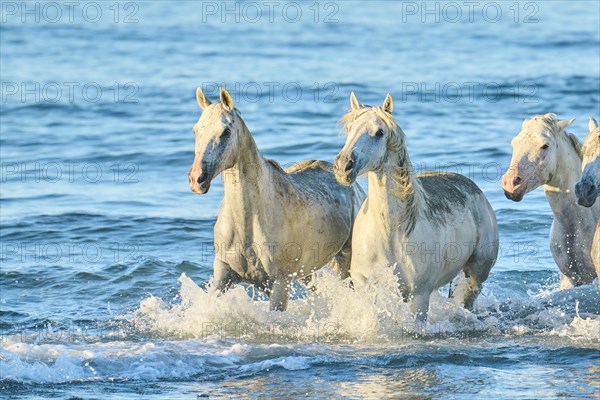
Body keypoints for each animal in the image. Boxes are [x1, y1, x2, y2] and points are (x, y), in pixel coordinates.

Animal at [189, 86, 366, 312]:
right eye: (196, 130)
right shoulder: (223, 275)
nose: (197, 179)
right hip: (306, 274)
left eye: (225, 132)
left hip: (345, 262)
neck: (247, 222)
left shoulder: (280, 284)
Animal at [332, 92, 496, 320]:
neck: (391, 231)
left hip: (474, 277)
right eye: (349, 128)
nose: (343, 166)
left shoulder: (419, 295)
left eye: (379, 132)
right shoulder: (366, 287)